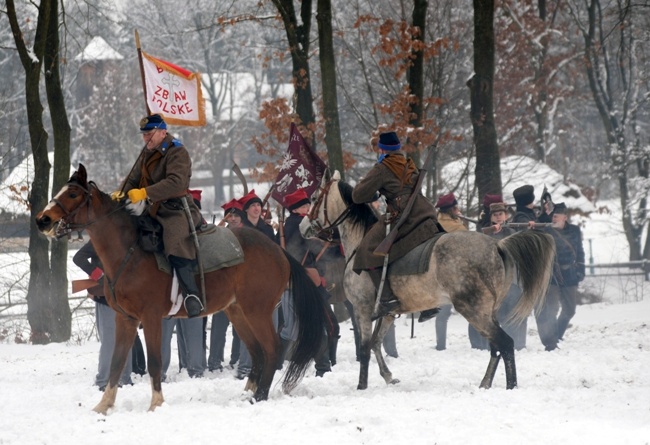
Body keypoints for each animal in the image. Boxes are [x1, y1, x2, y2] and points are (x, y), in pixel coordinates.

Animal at [35, 165, 324, 414]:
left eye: (73, 194)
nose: (42, 220)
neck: (129, 252)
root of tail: (279, 251)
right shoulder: (125, 319)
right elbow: (117, 362)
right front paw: (104, 405)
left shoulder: (151, 318)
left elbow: (154, 362)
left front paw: (156, 404)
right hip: (237, 312)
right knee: (257, 352)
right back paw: (247, 394)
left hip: (257, 312)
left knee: (272, 349)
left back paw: (259, 396)